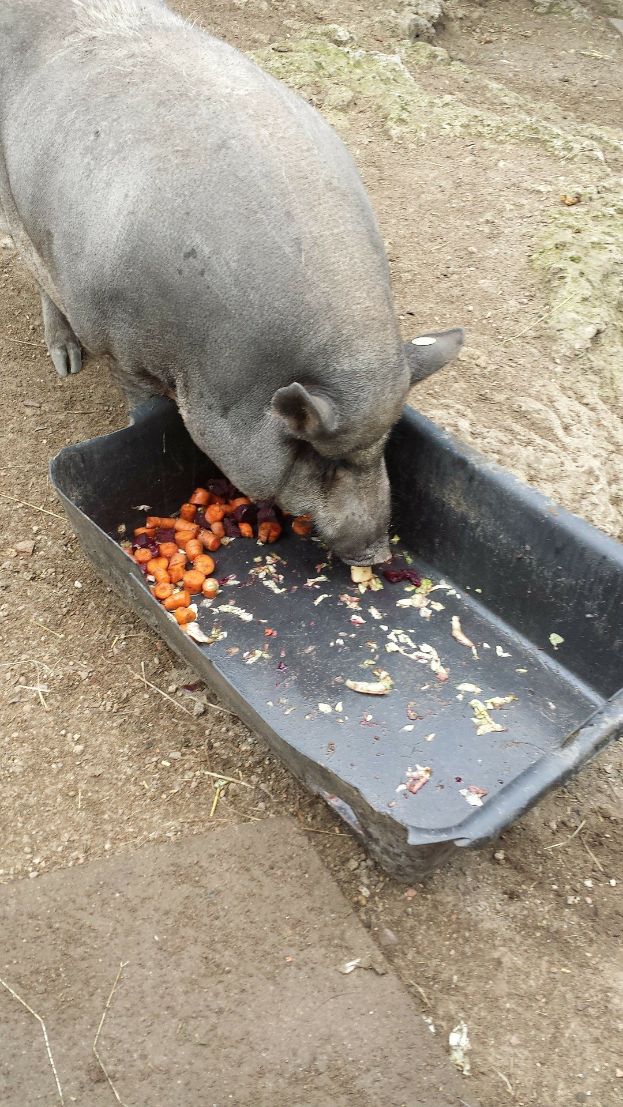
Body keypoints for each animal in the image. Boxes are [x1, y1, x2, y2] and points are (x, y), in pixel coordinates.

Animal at [0, 0, 463, 564]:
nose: (377, 553)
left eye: (385, 445)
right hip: (16, 208)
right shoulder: (119, 345)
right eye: (322, 458)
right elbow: (140, 406)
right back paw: (66, 364)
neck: (213, 368)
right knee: (41, 278)